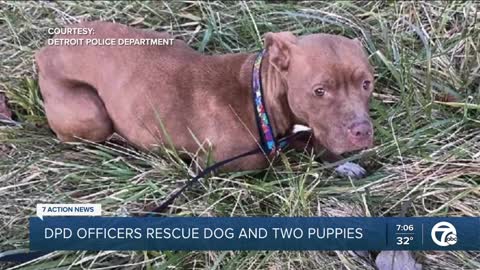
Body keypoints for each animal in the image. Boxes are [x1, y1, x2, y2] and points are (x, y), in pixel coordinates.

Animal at [37, 21, 376, 175]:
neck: (260, 97)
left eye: (366, 84)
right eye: (319, 91)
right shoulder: (214, 161)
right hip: (91, 115)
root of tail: (47, 48)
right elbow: (264, 158)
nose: (362, 130)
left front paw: (343, 163)